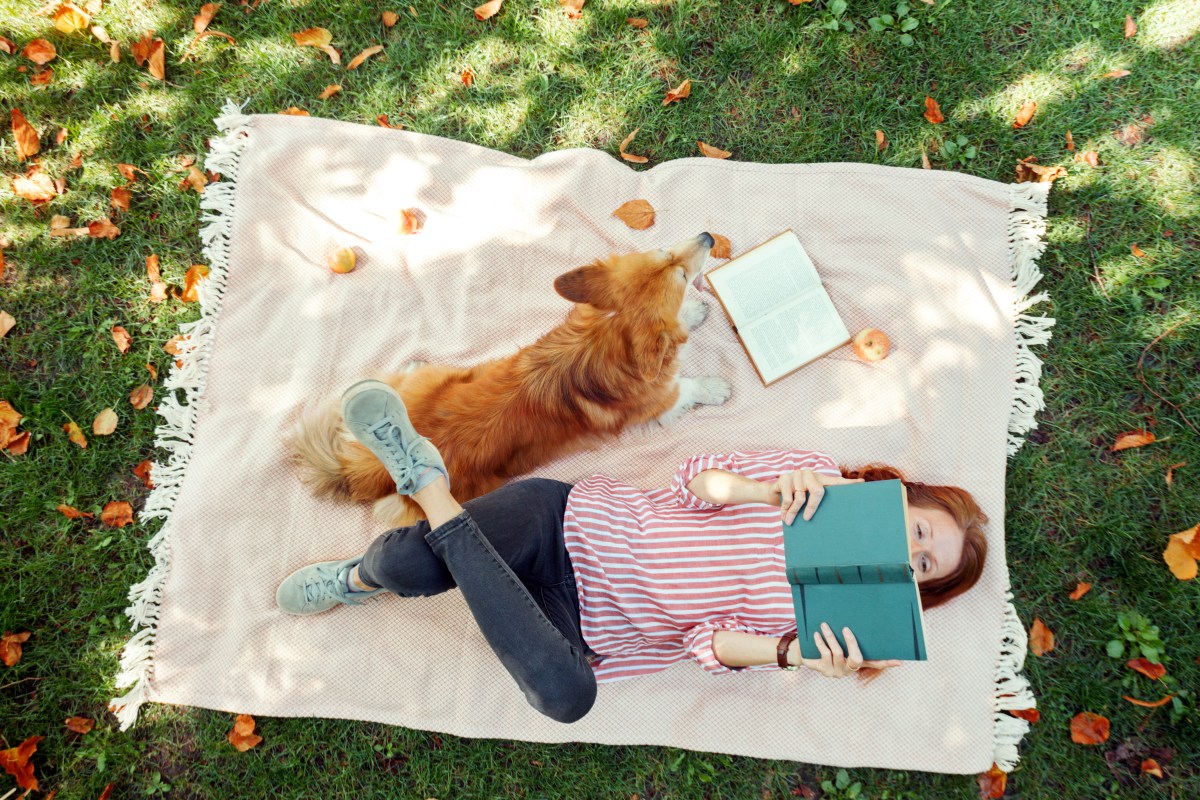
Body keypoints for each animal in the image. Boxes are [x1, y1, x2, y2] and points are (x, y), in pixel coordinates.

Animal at [288, 232, 729, 525]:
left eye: (667, 255)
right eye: (679, 273)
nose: (707, 236)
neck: (605, 335)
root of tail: (370, 469)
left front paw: (693, 314)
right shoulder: (662, 399)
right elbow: (689, 386)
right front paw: (717, 385)